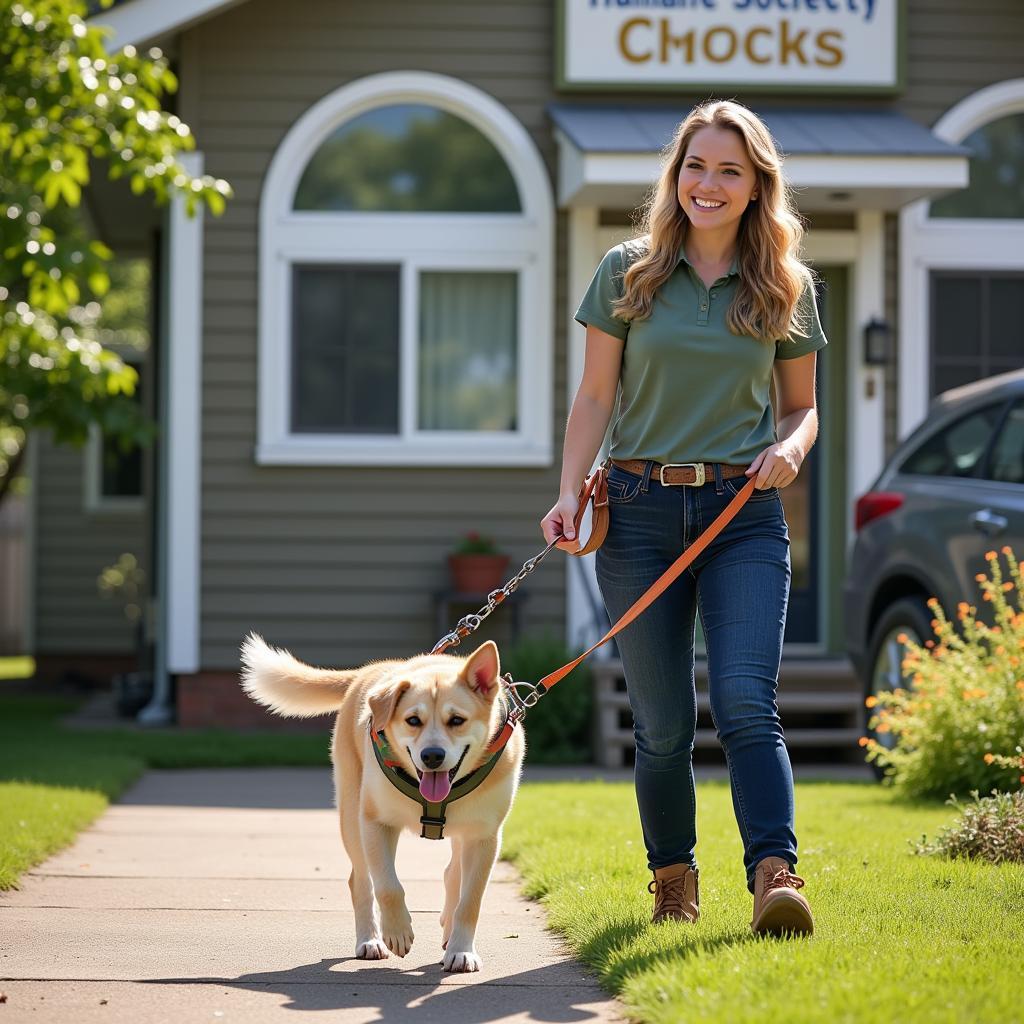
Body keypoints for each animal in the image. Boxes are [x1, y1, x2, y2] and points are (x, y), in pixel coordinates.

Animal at [238, 630, 524, 974]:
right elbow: (388, 886)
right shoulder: (376, 822)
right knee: (360, 880)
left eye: (457, 720)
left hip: (463, 832)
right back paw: (370, 940)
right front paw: (397, 932)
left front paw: (461, 951)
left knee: (452, 872)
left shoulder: (484, 837)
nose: (432, 756)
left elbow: (470, 900)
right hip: (351, 819)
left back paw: (447, 932)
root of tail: (367, 672)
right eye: (413, 720)